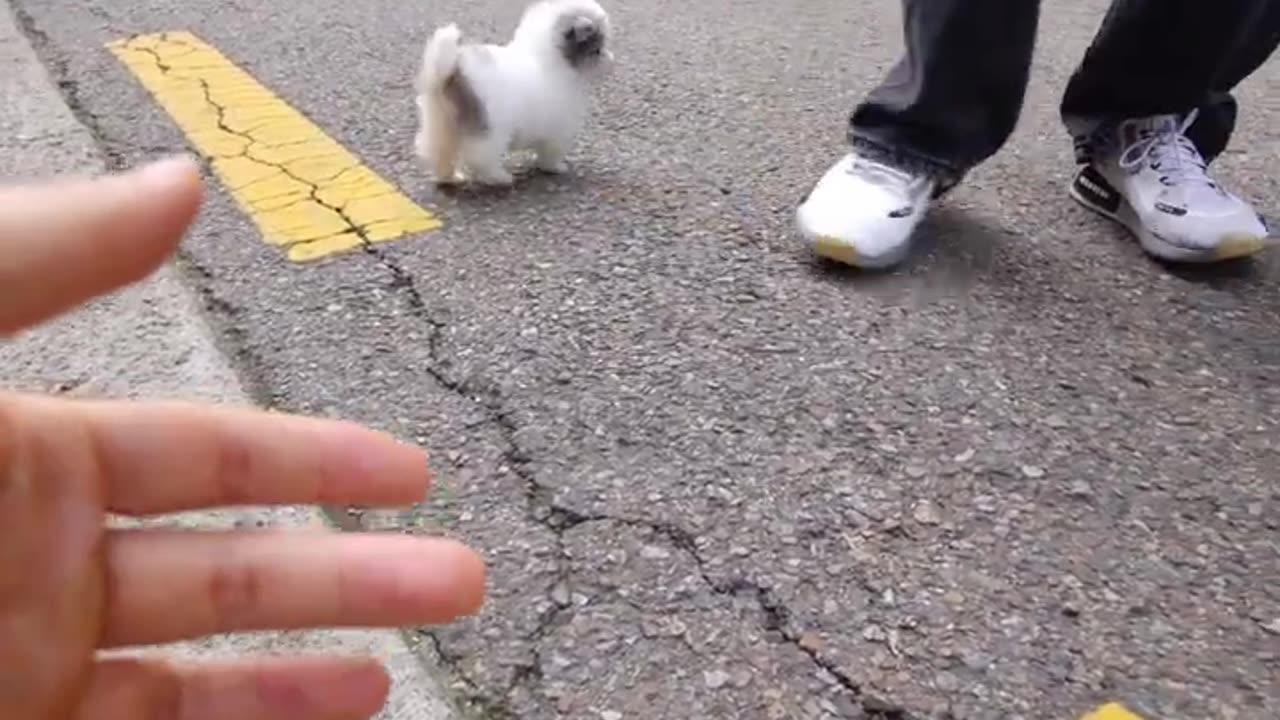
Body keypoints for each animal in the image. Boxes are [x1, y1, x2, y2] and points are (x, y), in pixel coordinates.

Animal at [409, 0, 609, 184]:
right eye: (597, 51)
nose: (610, 59)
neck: (549, 59)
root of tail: (450, 70)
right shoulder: (559, 130)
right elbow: (551, 153)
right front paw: (554, 167)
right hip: (488, 130)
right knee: (481, 158)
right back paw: (500, 177)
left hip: (440, 123)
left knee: (439, 152)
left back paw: (450, 177)